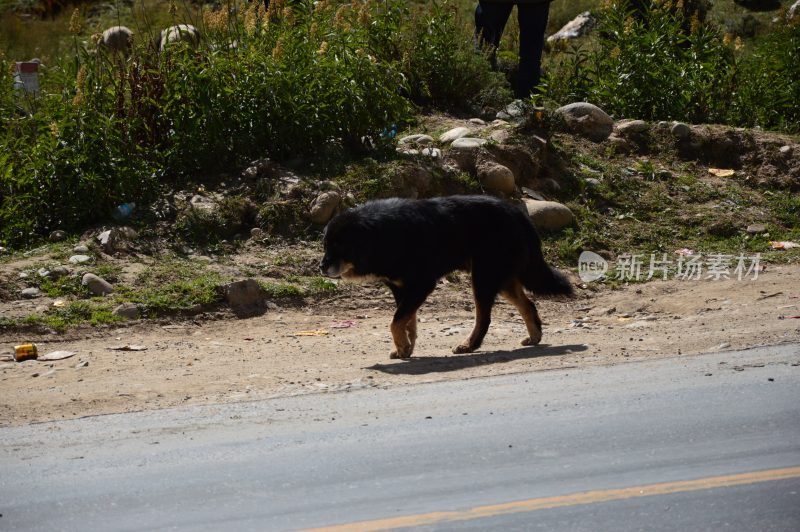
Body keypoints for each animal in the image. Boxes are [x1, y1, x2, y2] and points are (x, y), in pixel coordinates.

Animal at [320, 194, 576, 358]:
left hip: (483, 278)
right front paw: (406, 348)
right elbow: (406, 321)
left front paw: (403, 346)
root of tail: (517, 213)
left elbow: (396, 322)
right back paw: (534, 337)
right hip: (500, 278)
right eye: (325, 245)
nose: (321, 267)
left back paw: (469, 345)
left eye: (338, 246)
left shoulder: (422, 285)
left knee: (484, 318)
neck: (382, 235)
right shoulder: (402, 289)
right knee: (528, 305)